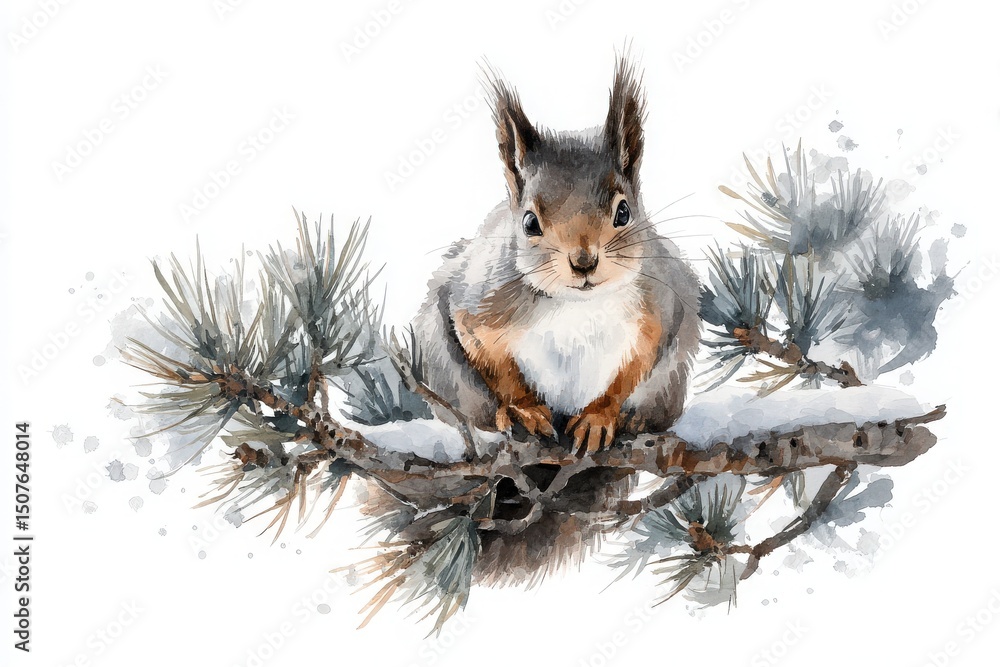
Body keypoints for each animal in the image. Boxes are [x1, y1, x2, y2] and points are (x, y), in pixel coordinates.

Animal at [412, 58, 702, 455]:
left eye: (624, 212)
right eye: (529, 222)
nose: (584, 262)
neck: (577, 305)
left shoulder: (661, 309)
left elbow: (631, 371)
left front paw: (599, 417)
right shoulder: (475, 305)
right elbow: (496, 367)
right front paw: (524, 410)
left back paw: (636, 420)